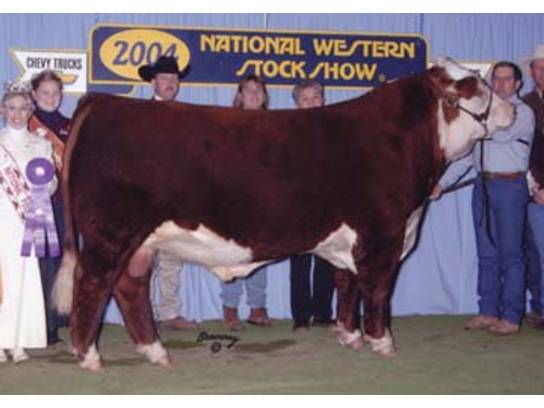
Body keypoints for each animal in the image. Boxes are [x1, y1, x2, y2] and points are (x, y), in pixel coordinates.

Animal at [53, 58, 514, 371]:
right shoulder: (383, 233)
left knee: (128, 287)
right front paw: (383, 342)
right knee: (93, 283)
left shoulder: (350, 238)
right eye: (476, 86)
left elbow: (348, 284)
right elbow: (378, 289)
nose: (510, 110)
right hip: (111, 232)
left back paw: (154, 351)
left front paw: (349, 336)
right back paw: (89, 355)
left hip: (140, 240)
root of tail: (101, 100)